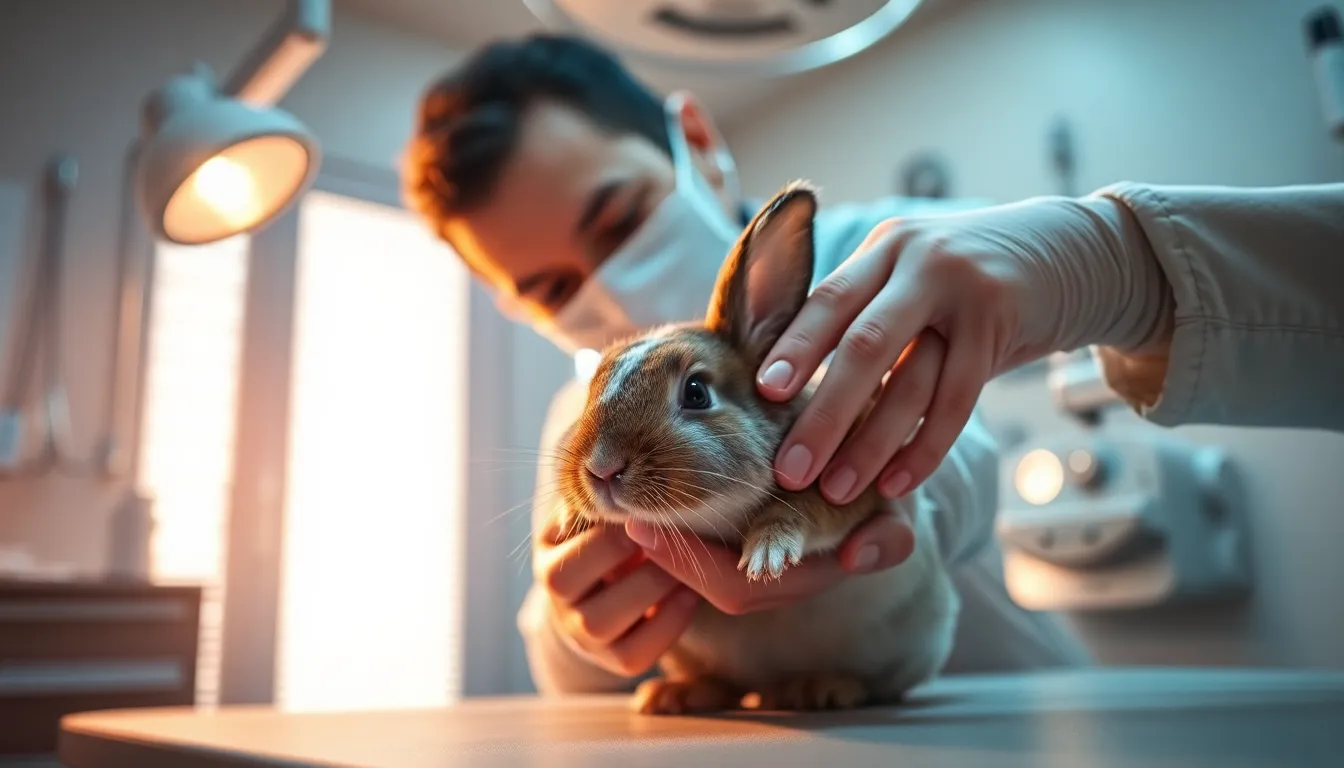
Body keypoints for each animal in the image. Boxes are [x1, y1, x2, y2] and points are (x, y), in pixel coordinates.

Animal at [553, 180, 961, 716]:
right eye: (592, 384)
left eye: (696, 393)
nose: (600, 468)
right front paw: (567, 520)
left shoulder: (853, 485)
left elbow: (808, 509)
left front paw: (766, 554)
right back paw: (676, 695)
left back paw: (824, 688)